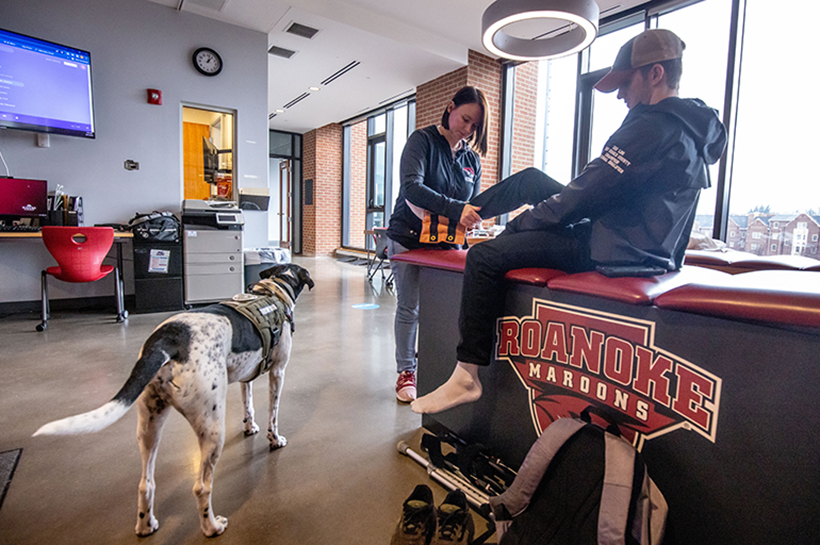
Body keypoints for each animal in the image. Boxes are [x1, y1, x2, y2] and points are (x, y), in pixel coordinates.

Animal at [34, 262, 314, 536]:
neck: (272, 291)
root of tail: (165, 340)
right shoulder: (278, 373)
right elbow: (273, 415)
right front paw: (274, 439)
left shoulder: (247, 377)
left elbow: (249, 405)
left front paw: (249, 426)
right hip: (212, 428)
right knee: (201, 487)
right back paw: (212, 527)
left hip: (150, 424)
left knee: (145, 484)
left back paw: (146, 526)